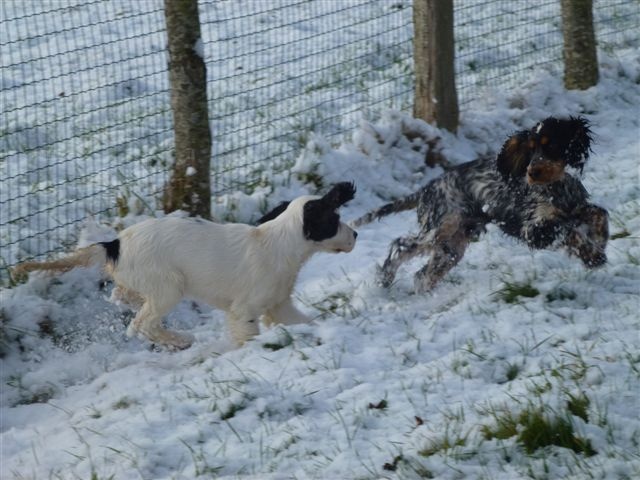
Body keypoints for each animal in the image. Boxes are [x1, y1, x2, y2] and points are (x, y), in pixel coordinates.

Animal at [13, 182, 356, 350]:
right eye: (335, 219)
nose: (355, 234)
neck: (277, 241)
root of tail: (115, 245)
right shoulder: (245, 309)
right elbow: (247, 335)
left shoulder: (279, 305)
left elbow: (304, 320)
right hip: (169, 287)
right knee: (140, 325)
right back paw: (181, 340)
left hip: (147, 285)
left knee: (122, 297)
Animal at [352, 116, 608, 292]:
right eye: (528, 150)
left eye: (551, 144)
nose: (532, 172)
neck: (556, 188)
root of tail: (426, 189)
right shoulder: (534, 229)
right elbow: (568, 231)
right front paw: (593, 255)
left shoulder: (574, 208)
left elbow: (598, 213)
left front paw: (600, 240)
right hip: (439, 228)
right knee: (401, 245)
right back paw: (384, 279)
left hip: (452, 245)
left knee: (422, 274)